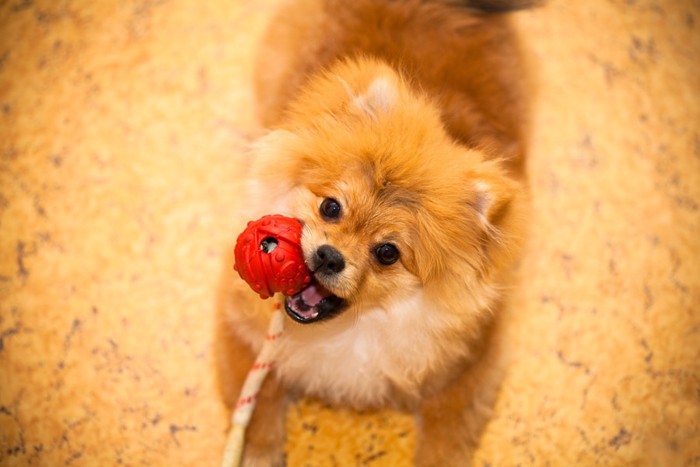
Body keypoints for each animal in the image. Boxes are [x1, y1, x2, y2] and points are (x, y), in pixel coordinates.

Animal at [216, 1, 532, 466]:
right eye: (331, 207)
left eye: (387, 252)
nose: (329, 256)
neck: (356, 330)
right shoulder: (242, 330)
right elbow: (256, 412)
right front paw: (259, 454)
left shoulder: (467, 365)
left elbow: (445, 439)